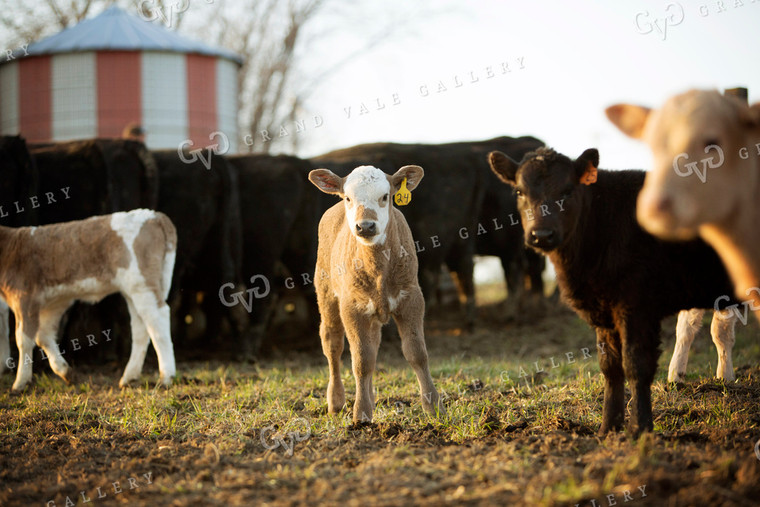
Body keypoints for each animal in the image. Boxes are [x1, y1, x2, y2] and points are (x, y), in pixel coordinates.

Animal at [0, 210, 177, 392]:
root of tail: (155, 216)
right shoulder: (55, 301)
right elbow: (42, 336)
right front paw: (66, 372)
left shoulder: (24, 297)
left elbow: (23, 339)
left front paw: (20, 383)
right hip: (133, 289)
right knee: (140, 326)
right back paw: (130, 377)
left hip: (142, 283)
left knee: (158, 318)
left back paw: (166, 377)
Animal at [308, 165, 442, 422]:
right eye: (349, 198)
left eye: (385, 196)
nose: (366, 226)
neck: (378, 267)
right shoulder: (352, 306)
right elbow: (361, 361)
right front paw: (360, 414)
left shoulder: (412, 298)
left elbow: (417, 352)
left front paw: (433, 407)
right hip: (326, 293)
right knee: (332, 343)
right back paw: (336, 401)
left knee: (372, 343)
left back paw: (369, 398)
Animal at [490, 147, 740, 436]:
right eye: (520, 192)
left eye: (567, 190)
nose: (541, 234)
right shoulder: (604, 312)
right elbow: (610, 367)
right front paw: (608, 427)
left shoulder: (636, 306)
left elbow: (636, 364)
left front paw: (640, 427)